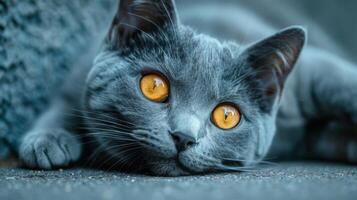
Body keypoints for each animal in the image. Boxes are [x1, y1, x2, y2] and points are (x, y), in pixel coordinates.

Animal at [18, 0, 356, 176]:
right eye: (154, 87)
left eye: (227, 116)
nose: (183, 136)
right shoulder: (80, 72)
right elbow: (66, 103)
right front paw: (46, 141)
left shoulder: (312, 70)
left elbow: (345, 83)